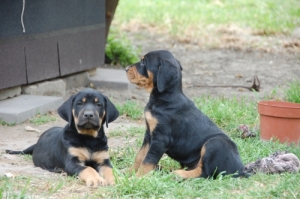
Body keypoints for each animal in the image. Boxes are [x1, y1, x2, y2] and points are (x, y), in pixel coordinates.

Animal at [125, 50, 248, 179]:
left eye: (144, 62)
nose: (125, 68)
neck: (165, 98)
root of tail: (241, 170)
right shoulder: (149, 135)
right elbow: (140, 156)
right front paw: (128, 172)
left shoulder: (160, 139)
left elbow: (148, 160)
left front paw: (137, 177)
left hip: (215, 143)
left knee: (204, 173)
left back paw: (179, 174)